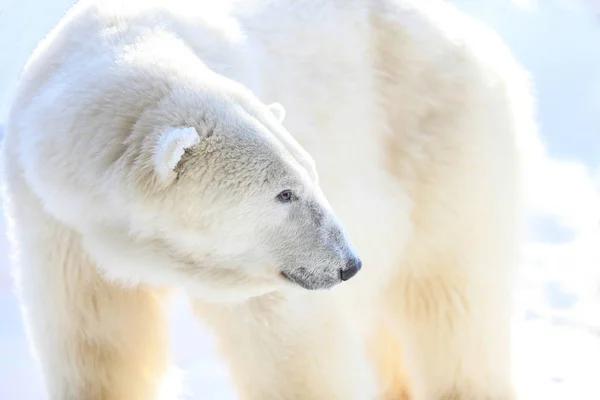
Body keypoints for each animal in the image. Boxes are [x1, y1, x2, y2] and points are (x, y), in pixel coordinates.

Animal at [0, 0, 536, 398]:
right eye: (284, 192)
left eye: (310, 175)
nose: (348, 264)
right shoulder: (55, 225)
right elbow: (97, 345)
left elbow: (293, 351)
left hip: (439, 143)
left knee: (452, 301)